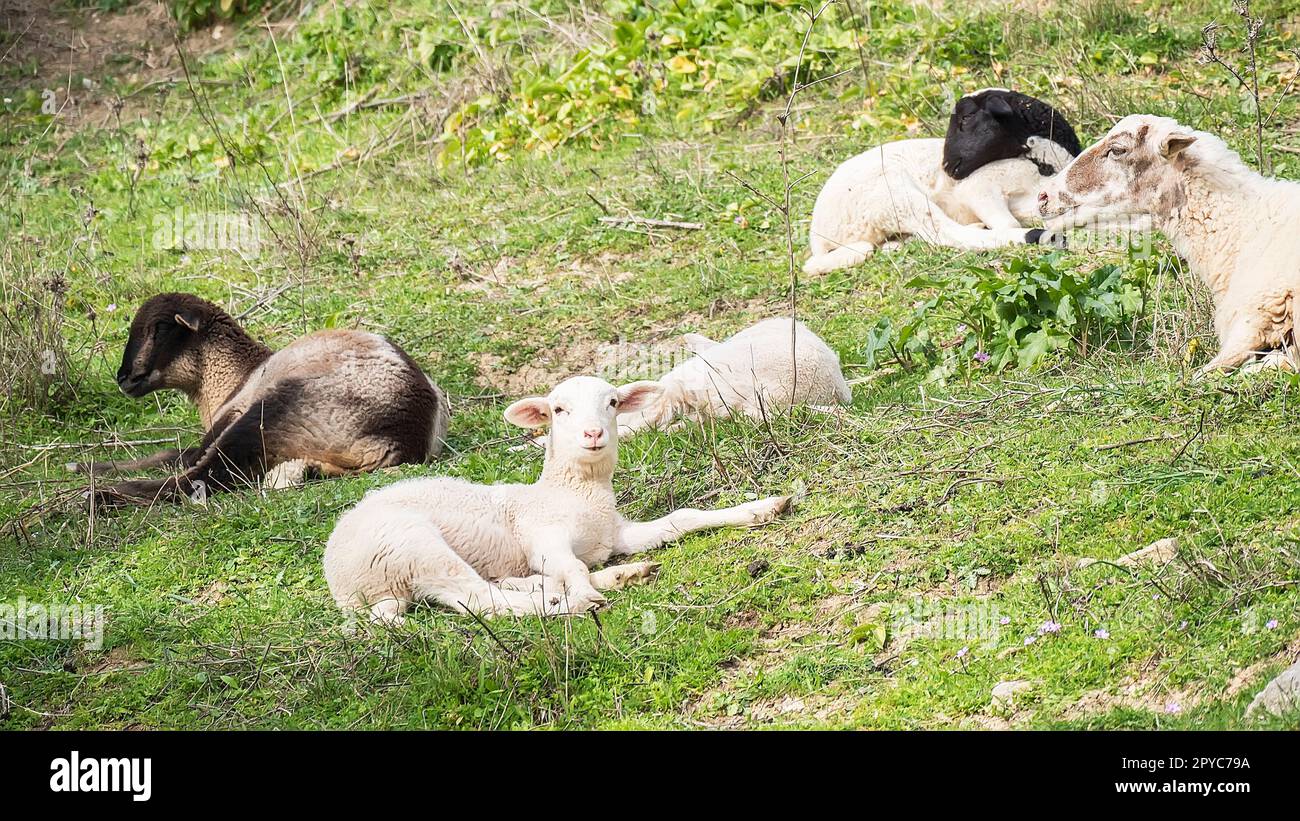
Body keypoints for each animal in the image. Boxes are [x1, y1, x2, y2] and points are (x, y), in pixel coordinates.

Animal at [77, 292, 452, 504]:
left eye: (160, 329)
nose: (122, 377)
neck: (233, 378)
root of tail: (404, 435)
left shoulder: (231, 417)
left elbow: (182, 458)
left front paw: (92, 474)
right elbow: (170, 453)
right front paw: (87, 465)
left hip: (276, 414)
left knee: (200, 480)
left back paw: (100, 498)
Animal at [327, 374, 790, 626]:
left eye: (613, 402)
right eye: (559, 409)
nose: (593, 433)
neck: (573, 494)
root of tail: (346, 585)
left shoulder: (615, 534)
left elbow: (682, 517)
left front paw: (760, 508)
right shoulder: (543, 536)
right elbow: (571, 566)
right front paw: (583, 594)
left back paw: (617, 576)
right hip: (413, 548)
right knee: (482, 600)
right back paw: (563, 602)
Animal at [800, 136, 1076, 274]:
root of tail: (818, 238)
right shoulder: (979, 185)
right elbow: (1007, 219)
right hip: (893, 192)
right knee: (943, 232)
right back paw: (1033, 236)